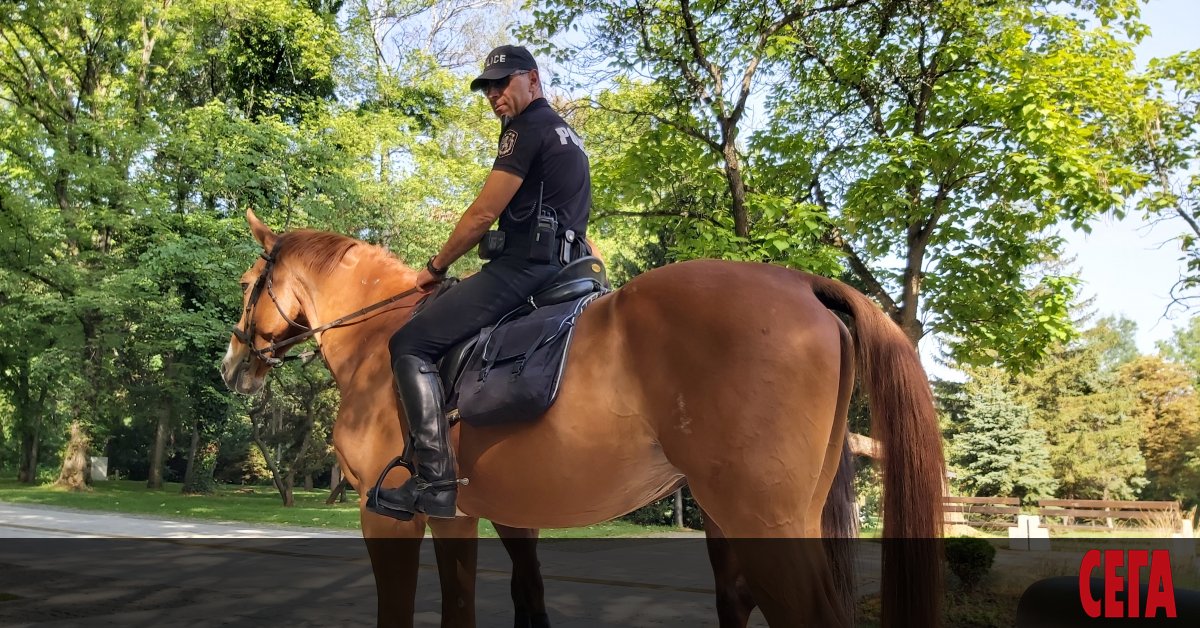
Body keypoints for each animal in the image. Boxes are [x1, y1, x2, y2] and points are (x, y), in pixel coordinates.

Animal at [220, 208, 940, 624]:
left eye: (248, 284)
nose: (232, 364)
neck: (380, 338)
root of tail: (805, 284)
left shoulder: (388, 516)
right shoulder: (464, 515)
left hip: (761, 521)